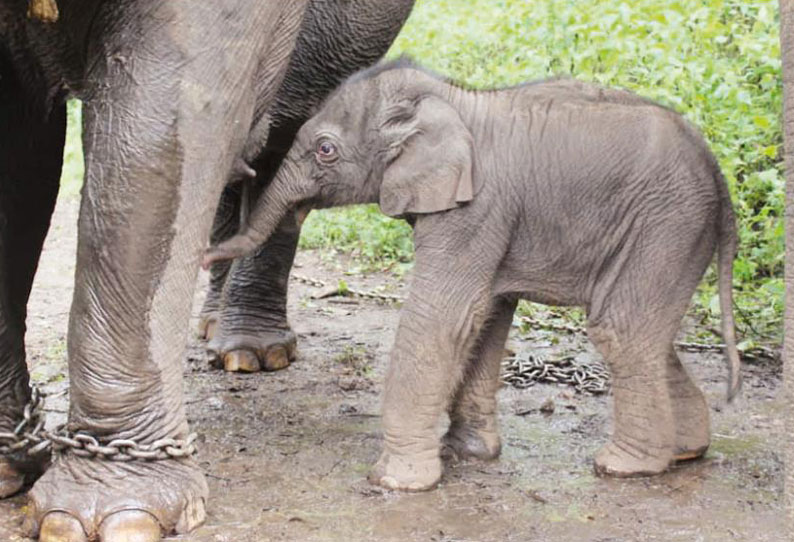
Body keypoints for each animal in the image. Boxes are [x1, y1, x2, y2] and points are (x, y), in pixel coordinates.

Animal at [0, 1, 414, 542]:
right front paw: (10, 473)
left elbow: (163, 130)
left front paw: (114, 518)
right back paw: (217, 329)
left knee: (284, 131)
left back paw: (253, 354)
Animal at [203, 59, 736, 492]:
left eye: (326, 150)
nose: (206, 255)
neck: (451, 99)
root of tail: (718, 174)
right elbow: (488, 315)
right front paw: (469, 454)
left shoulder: (475, 209)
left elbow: (444, 316)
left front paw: (396, 481)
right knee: (647, 335)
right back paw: (684, 453)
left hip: (665, 226)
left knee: (619, 329)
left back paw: (623, 467)